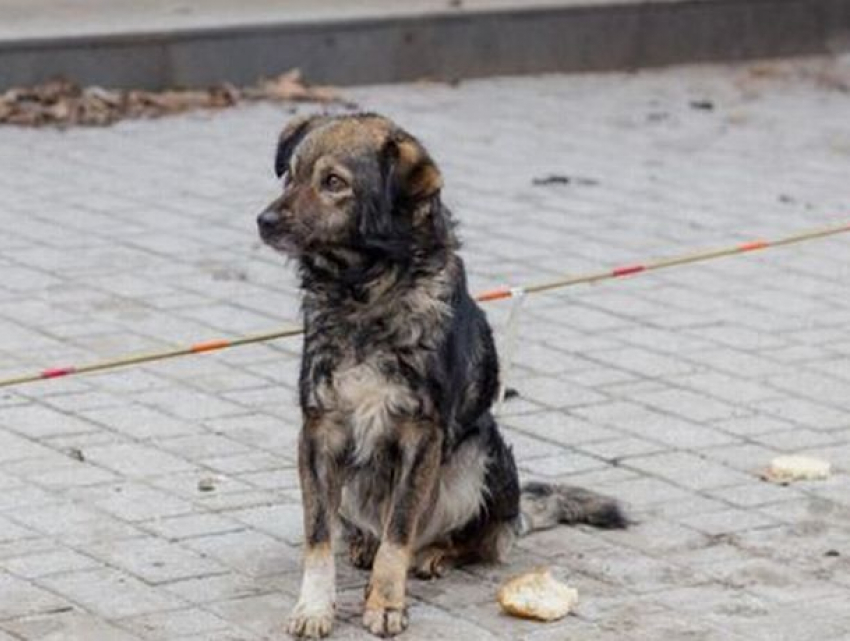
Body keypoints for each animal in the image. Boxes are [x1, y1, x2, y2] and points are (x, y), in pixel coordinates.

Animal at [253, 112, 624, 636]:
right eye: (290, 175)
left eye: (334, 182)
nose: (263, 221)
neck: (363, 294)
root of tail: (518, 517)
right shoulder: (320, 432)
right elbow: (319, 536)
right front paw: (315, 606)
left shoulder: (419, 435)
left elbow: (399, 532)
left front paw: (386, 602)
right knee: (367, 527)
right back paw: (363, 543)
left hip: (482, 454)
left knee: (466, 539)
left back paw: (434, 554)